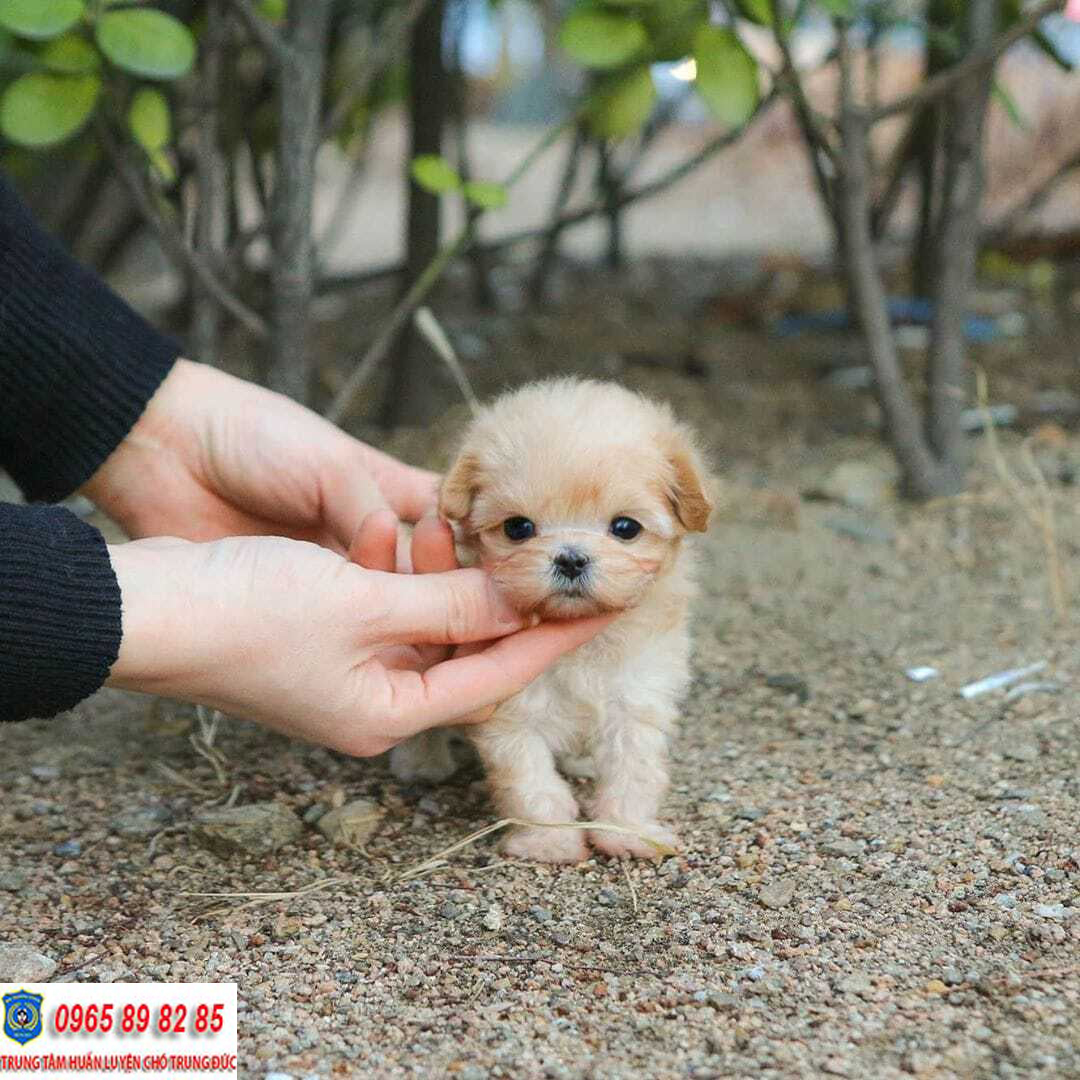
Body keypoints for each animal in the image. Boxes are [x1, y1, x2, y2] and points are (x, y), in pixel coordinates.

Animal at [393, 375, 712, 864]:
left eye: (625, 528)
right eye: (518, 528)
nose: (571, 558)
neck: (583, 649)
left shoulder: (637, 700)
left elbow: (634, 773)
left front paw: (627, 832)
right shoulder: (512, 715)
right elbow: (533, 785)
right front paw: (550, 842)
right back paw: (421, 764)